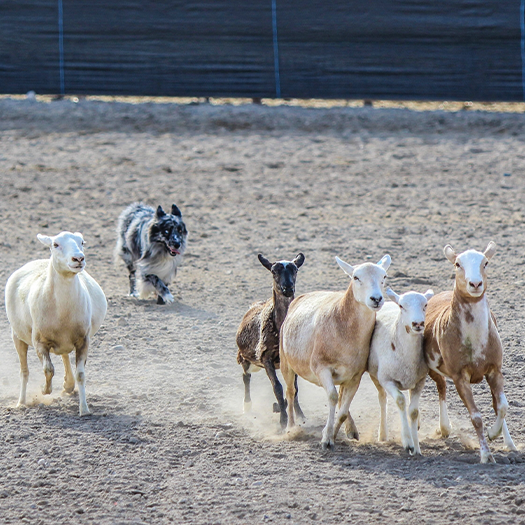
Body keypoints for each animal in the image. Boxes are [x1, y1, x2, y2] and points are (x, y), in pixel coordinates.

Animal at [5, 231, 107, 416]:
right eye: (55, 244)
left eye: (82, 242)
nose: (78, 258)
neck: (63, 312)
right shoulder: (39, 342)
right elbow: (48, 369)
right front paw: (44, 390)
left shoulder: (83, 341)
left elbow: (81, 374)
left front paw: (84, 410)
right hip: (17, 335)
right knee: (24, 371)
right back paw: (21, 403)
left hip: (64, 341)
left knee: (64, 355)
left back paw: (68, 385)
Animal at [236, 253, 305, 428]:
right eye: (274, 271)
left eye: (295, 269)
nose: (288, 288)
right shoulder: (266, 358)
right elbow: (278, 388)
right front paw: (283, 421)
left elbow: (294, 388)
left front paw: (300, 416)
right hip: (245, 358)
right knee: (246, 377)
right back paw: (247, 407)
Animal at [280, 254, 391, 450]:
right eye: (356, 277)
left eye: (384, 276)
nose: (376, 299)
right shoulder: (321, 367)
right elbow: (331, 397)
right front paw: (326, 439)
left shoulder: (355, 376)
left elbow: (343, 409)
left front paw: (332, 434)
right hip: (286, 362)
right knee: (290, 392)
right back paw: (291, 429)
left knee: (340, 398)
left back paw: (350, 430)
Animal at [367, 287, 434, 455]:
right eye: (402, 306)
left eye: (425, 305)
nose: (418, 323)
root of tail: (389, 301)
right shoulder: (387, 380)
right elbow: (400, 401)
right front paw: (408, 442)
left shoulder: (420, 381)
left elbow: (413, 411)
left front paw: (417, 448)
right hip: (375, 375)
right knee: (382, 398)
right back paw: (383, 434)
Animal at [423, 242, 517, 463]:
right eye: (458, 263)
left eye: (486, 262)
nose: (475, 284)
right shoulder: (460, 377)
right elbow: (476, 416)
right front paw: (486, 455)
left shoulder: (495, 370)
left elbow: (502, 407)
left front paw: (494, 434)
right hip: (433, 369)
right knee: (441, 388)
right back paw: (444, 428)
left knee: (496, 404)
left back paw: (510, 444)